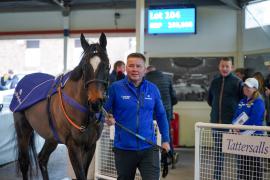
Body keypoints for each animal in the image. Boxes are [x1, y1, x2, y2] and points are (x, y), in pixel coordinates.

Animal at [10, 33, 109, 179]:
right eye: (84, 67)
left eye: (107, 66)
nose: (95, 103)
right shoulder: (73, 146)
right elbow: (80, 175)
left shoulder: (91, 146)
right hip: (23, 131)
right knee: (24, 162)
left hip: (51, 137)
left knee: (42, 159)